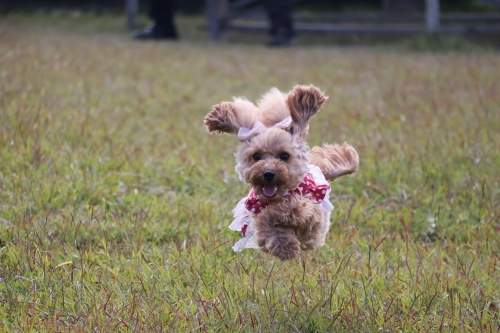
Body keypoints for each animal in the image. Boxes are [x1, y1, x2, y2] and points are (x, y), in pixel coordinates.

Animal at [204, 85, 360, 260]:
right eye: (256, 156)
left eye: (284, 156)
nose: (268, 173)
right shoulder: (261, 224)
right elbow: (271, 228)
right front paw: (285, 248)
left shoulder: (312, 218)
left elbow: (299, 208)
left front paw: (283, 211)